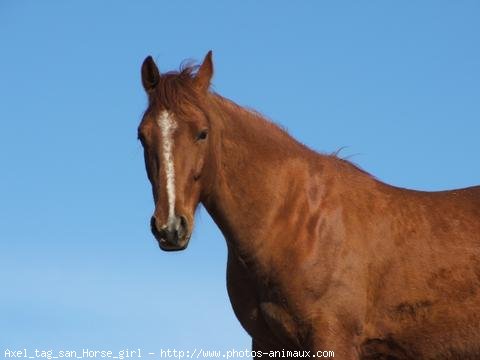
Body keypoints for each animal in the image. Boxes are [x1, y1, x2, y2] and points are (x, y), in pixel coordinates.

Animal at [136, 51, 480, 360]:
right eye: (142, 136)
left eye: (202, 133)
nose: (170, 227)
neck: (299, 222)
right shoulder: (267, 345)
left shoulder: (332, 339)